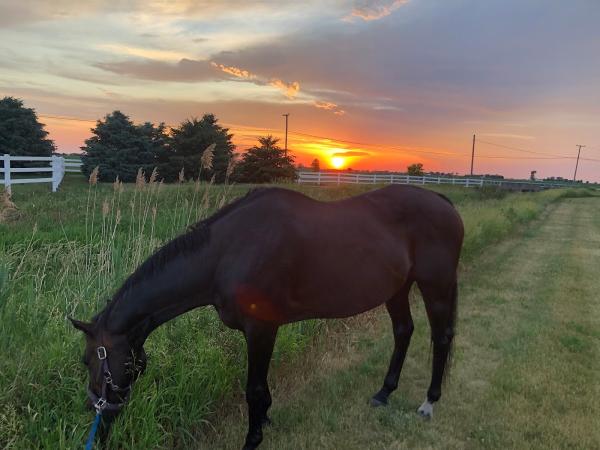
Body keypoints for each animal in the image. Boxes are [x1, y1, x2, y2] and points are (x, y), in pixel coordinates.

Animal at [70, 185, 464, 448]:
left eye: (89, 359)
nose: (97, 412)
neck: (228, 253)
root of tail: (444, 202)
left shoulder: (260, 328)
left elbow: (254, 388)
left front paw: (253, 436)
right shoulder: (265, 331)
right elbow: (263, 387)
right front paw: (266, 419)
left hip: (436, 285)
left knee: (441, 336)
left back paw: (429, 402)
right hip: (397, 289)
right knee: (404, 331)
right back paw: (383, 393)